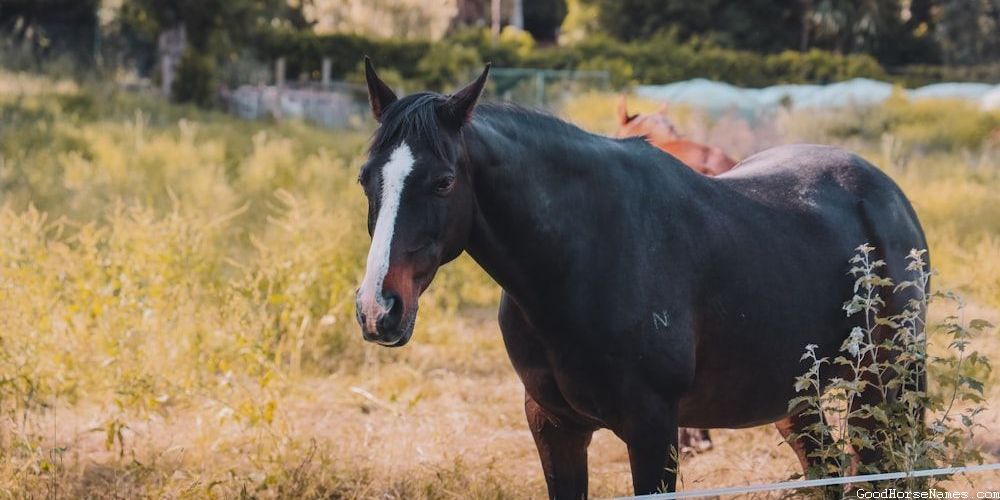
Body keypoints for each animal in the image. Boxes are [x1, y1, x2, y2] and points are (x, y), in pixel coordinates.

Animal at [354, 58, 928, 497]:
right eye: (365, 179)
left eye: (444, 182)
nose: (378, 309)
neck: (583, 259)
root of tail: (886, 192)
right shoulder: (552, 425)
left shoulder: (652, 431)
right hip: (795, 398)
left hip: (887, 384)